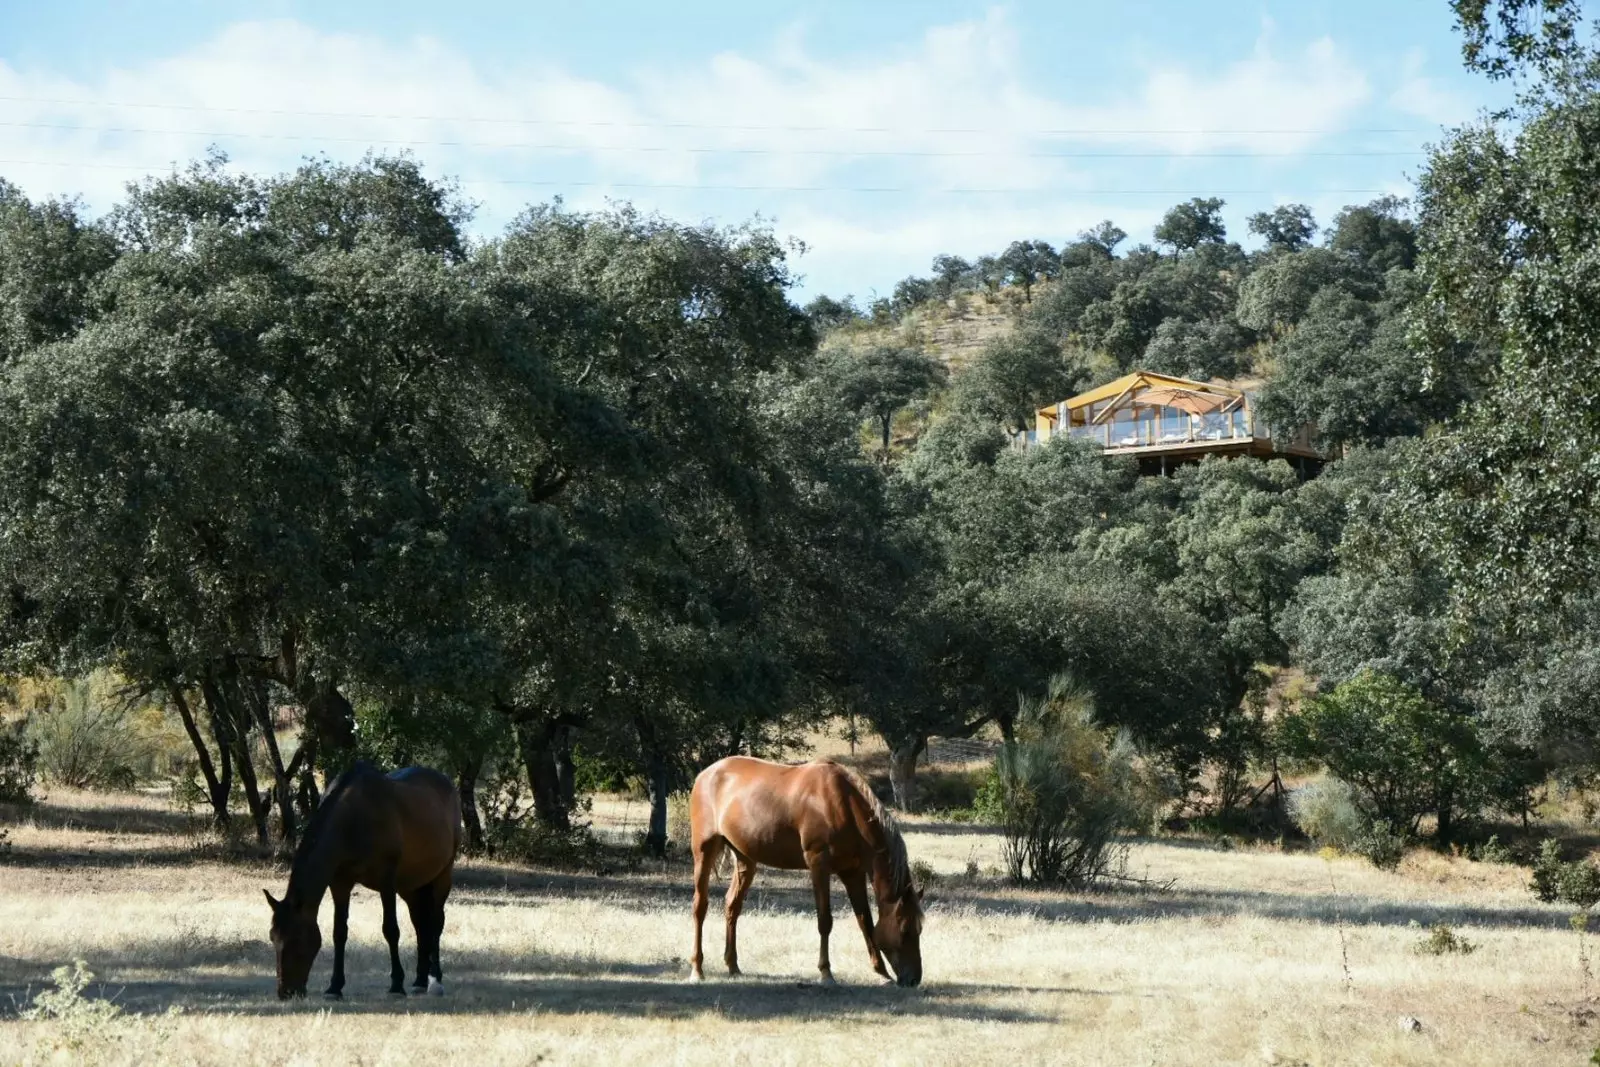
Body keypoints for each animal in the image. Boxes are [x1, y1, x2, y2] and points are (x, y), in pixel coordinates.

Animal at [262, 758, 464, 1004]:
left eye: (297, 939)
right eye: (273, 938)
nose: (286, 992)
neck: (353, 818)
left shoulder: (387, 882)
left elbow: (391, 930)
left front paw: (396, 985)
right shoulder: (340, 884)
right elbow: (339, 932)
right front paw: (334, 987)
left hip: (442, 876)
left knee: (435, 923)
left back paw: (435, 980)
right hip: (411, 886)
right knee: (420, 925)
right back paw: (419, 981)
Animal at [688, 755, 928, 991]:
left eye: (919, 930)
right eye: (905, 930)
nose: (913, 980)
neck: (843, 804)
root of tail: (704, 774)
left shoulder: (853, 873)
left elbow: (865, 921)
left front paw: (882, 973)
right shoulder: (818, 865)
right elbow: (825, 920)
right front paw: (826, 973)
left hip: (745, 859)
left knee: (732, 905)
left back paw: (733, 966)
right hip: (704, 850)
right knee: (700, 906)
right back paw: (697, 969)